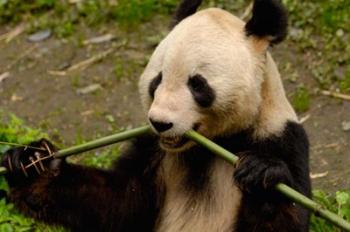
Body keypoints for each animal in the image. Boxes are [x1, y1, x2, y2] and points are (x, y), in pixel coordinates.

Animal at [2, 0, 308, 232]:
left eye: (198, 85)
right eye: (157, 80)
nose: (160, 123)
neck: (209, 147)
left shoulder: (280, 136)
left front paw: (262, 176)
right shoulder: (152, 148)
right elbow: (117, 204)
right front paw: (33, 163)